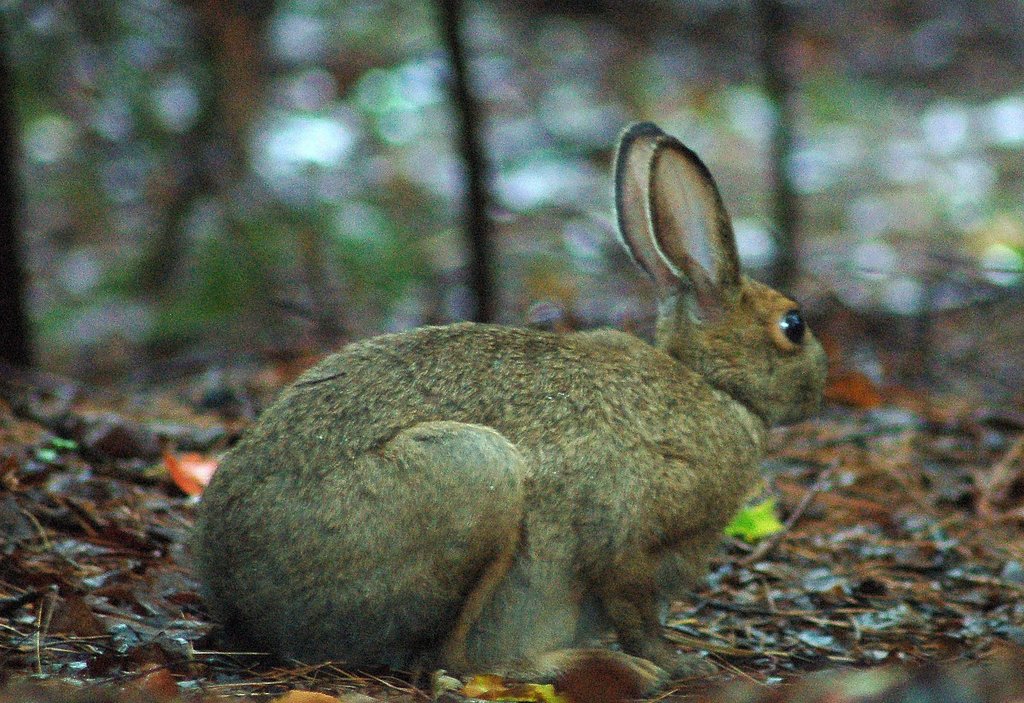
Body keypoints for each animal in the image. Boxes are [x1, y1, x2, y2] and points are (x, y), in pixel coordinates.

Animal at [192, 122, 828, 692]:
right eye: (793, 325)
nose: (821, 386)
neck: (717, 387)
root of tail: (236, 598)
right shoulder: (628, 532)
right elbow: (634, 609)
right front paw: (681, 666)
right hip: (475, 471)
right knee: (448, 661)